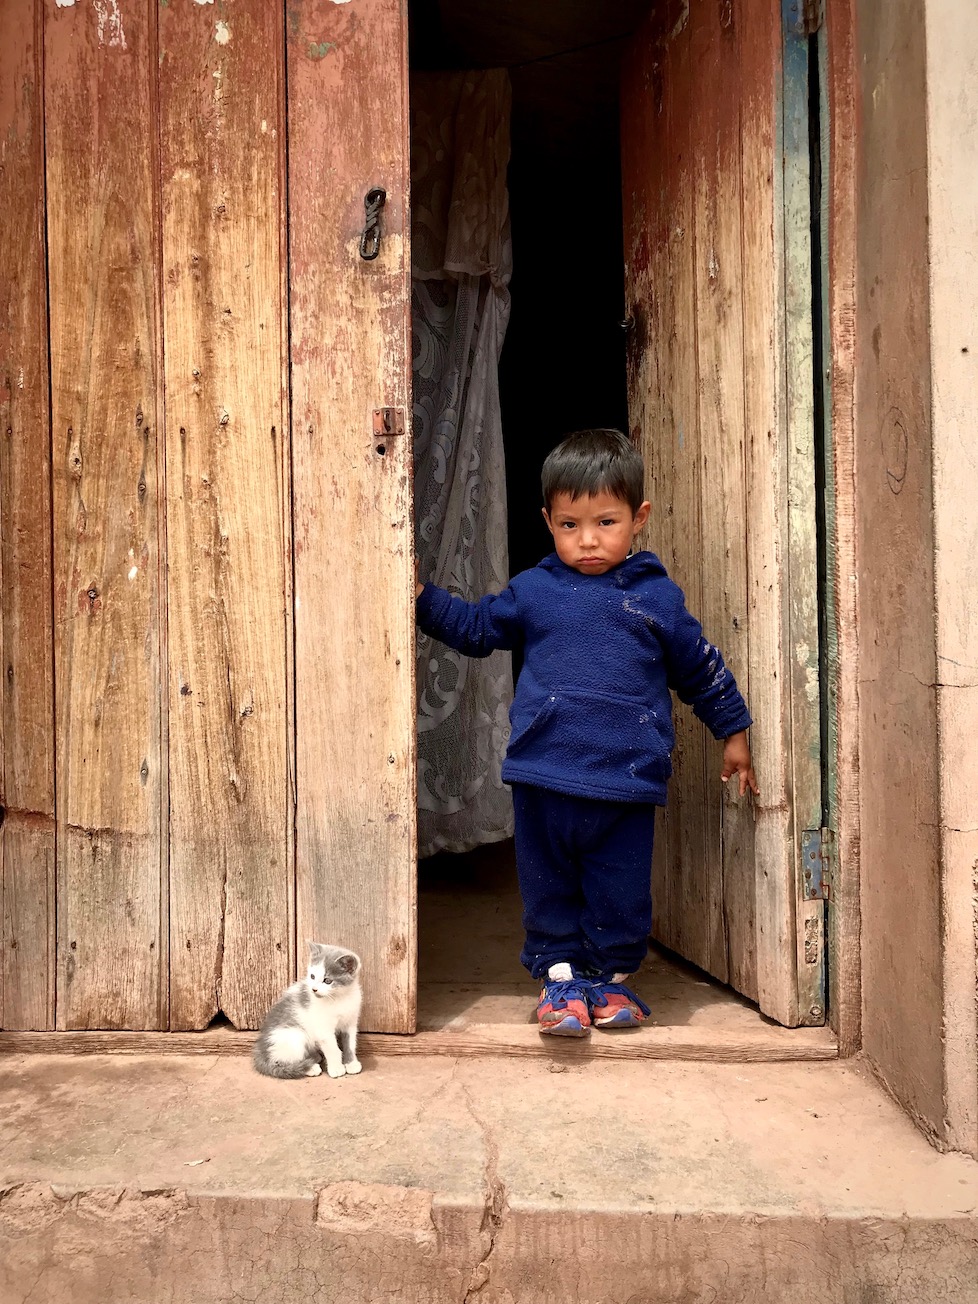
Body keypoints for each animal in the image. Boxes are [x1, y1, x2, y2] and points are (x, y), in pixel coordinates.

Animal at [252, 938, 365, 1079]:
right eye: (312, 976)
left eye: (327, 981)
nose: (314, 989)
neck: (340, 998)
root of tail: (261, 1049)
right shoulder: (323, 1028)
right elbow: (333, 1048)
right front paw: (336, 1068)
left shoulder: (350, 1022)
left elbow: (350, 1044)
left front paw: (351, 1063)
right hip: (294, 1036)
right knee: (281, 1060)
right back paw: (311, 1067)